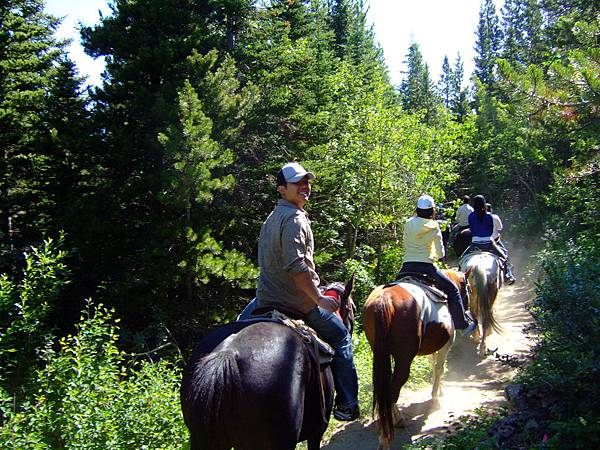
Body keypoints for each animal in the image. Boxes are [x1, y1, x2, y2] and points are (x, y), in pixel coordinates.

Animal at [360, 268, 468, 448]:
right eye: (466, 287)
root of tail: (384, 299)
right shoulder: (445, 345)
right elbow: (440, 368)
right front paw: (436, 399)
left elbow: (434, 367)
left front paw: (439, 391)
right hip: (404, 358)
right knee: (394, 387)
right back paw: (387, 435)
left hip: (380, 353)